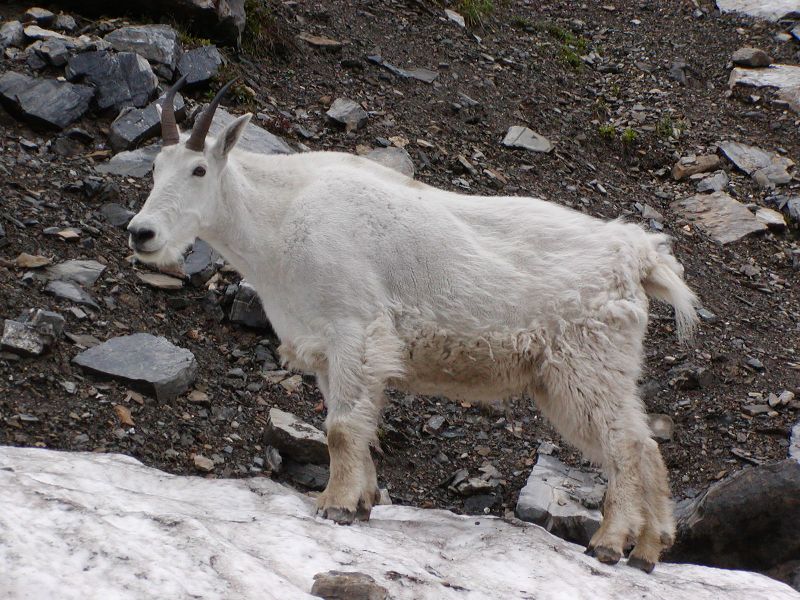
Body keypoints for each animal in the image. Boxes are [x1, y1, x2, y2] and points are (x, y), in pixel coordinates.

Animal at [128, 78, 699, 573]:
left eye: (199, 170)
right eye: (155, 167)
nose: (142, 233)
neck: (277, 219)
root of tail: (638, 256)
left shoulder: (354, 329)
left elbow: (340, 428)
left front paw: (334, 505)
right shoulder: (327, 348)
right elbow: (353, 424)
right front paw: (361, 502)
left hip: (585, 362)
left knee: (624, 443)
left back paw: (609, 543)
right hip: (580, 371)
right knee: (644, 442)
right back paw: (649, 549)